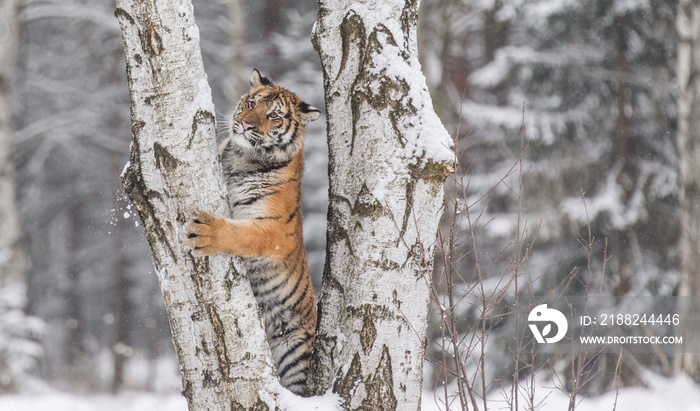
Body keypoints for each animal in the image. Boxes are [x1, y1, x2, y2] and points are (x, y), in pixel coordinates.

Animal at [183, 69, 320, 398]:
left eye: (274, 115)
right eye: (252, 103)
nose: (245, 124)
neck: (243, 158)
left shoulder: (273, 229)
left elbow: (241, 234)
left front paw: (205, 231)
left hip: (293, 353)